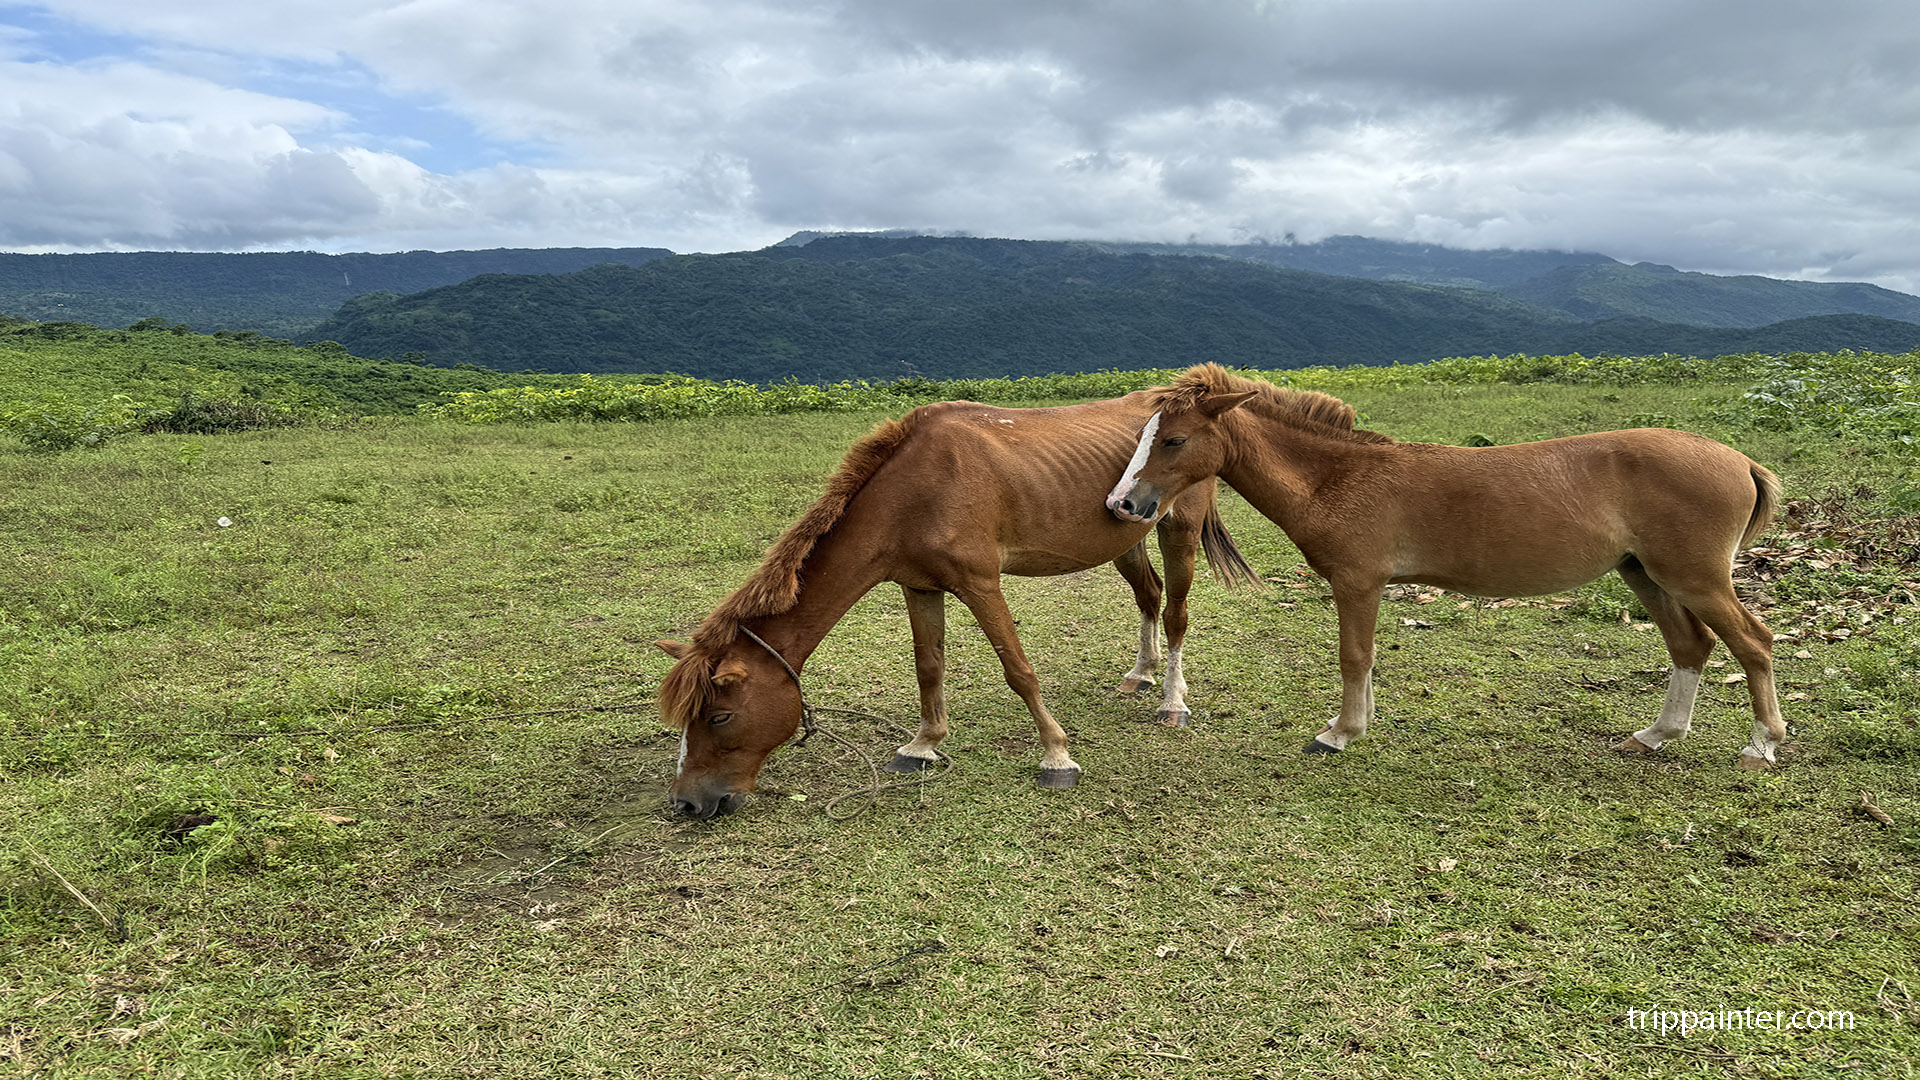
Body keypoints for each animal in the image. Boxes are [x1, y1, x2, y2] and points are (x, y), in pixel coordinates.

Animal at [656, 395, 1259, 814]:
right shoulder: (919, 587)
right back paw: (1141, 673)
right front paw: (923, 745)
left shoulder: (980, 583)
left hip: (1178, 531)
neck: (913, 491)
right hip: (1127, 538)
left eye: (719, 715)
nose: (687, 803)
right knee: (1149, 596)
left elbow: (1018, 670)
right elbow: (929, 667)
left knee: (1176, 612)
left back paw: (1173, 700)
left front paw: (1057, 754)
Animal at [1105, 365, 1789, 768]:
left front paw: (1340, 732)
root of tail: (1741, 461)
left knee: (1753, 642)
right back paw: (1654, 736)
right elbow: (1367, 659)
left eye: (1173, 440)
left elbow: (1354, 656)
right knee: (1691, 646)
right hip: (1644, 573)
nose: (1123, 504)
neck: (1338, 479)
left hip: (1693, 577)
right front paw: (1356, 723)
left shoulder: (1358, 582)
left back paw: (1762, 745)